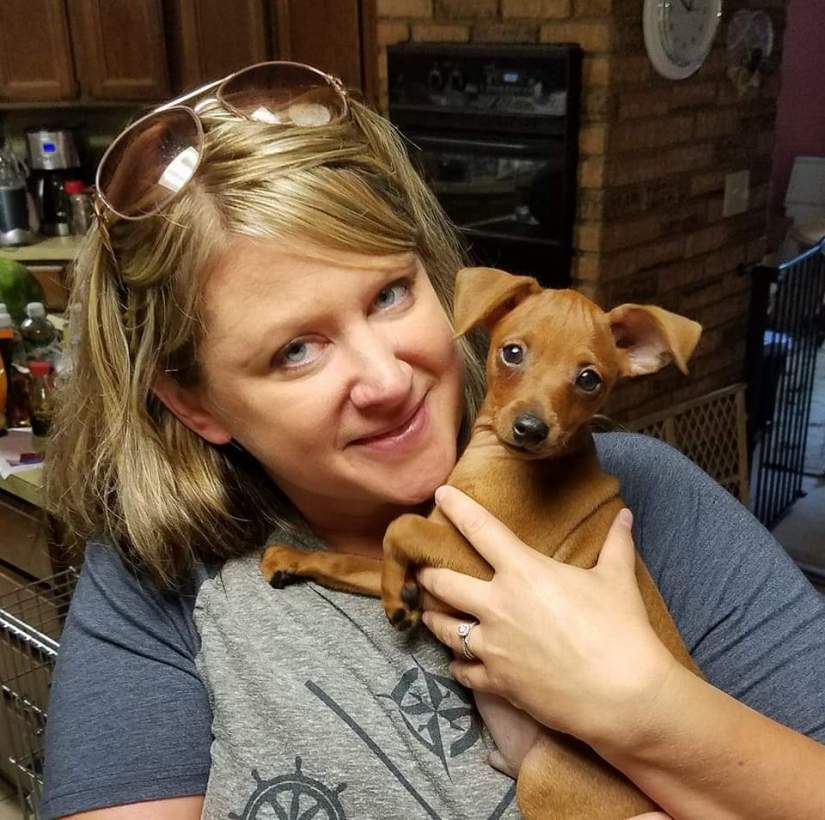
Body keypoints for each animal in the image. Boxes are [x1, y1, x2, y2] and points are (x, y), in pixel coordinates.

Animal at [261, 266, 703, 819]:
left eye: (589, 379)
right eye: (512, 353)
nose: (531, 429)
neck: (501, 461)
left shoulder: (490, 568)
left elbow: (399, 526)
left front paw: (394, 602)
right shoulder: (429, 570)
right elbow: (351, 556)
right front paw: (294, 559)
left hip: (546, 776)